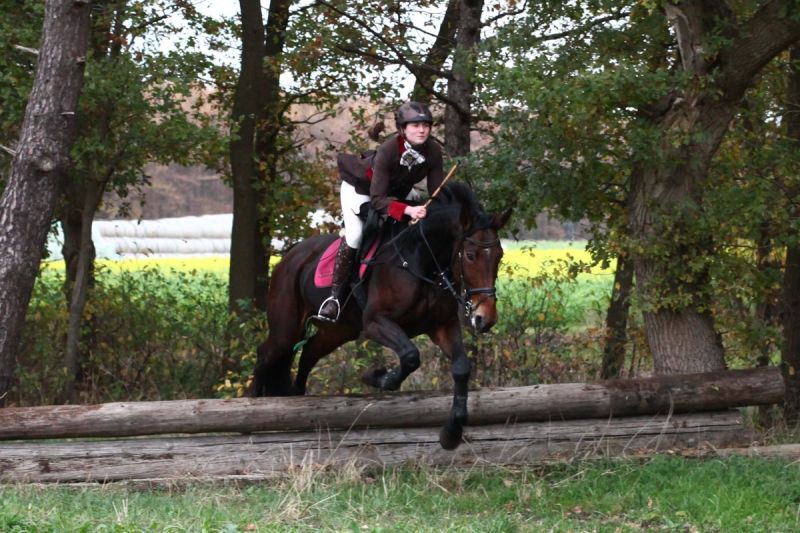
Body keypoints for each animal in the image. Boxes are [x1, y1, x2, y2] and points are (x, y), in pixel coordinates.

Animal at [251, 182, 511, 449]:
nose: (486, 318)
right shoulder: (375, 323)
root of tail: (290, 255)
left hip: (338, 331)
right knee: (266, 354)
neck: (421, 261)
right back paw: (254, 407)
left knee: (308, 354)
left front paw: (452, 432)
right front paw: (378, 377)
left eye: (499, 255)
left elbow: (461, 367)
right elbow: (410, 356)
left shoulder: (443, 326)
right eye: (469, 256)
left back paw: (296, 397)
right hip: (287, 328)